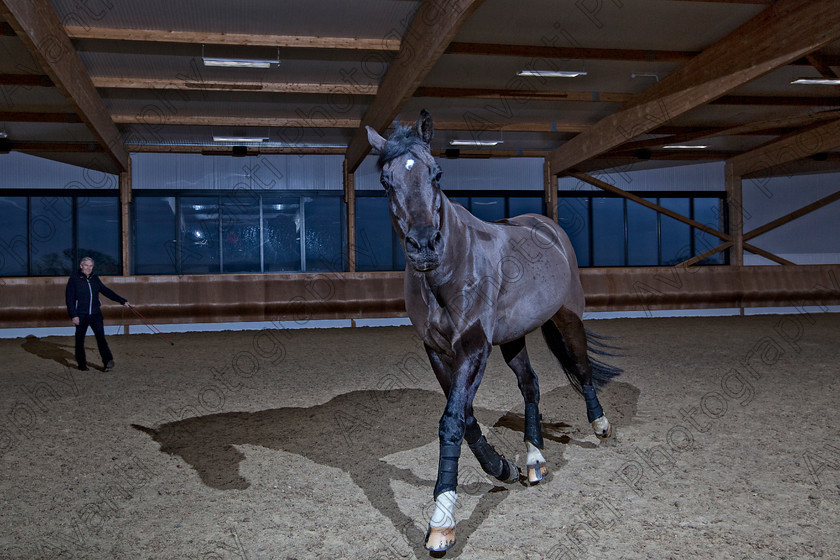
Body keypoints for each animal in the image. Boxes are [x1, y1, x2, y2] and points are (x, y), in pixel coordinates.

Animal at [364, 109, 620, 552]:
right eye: (385, 180)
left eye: (437, 173)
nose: (424, 245)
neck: (447, 271)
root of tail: (547, 228)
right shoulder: (439, 352)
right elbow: (464, 418)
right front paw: (500, 467)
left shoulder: (473, 347)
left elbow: (452, 421)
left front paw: (442, 522)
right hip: (514, 338)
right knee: (530, 385)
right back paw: (533, 460)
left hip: (568, 317)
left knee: (583, 368)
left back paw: (600, 425)